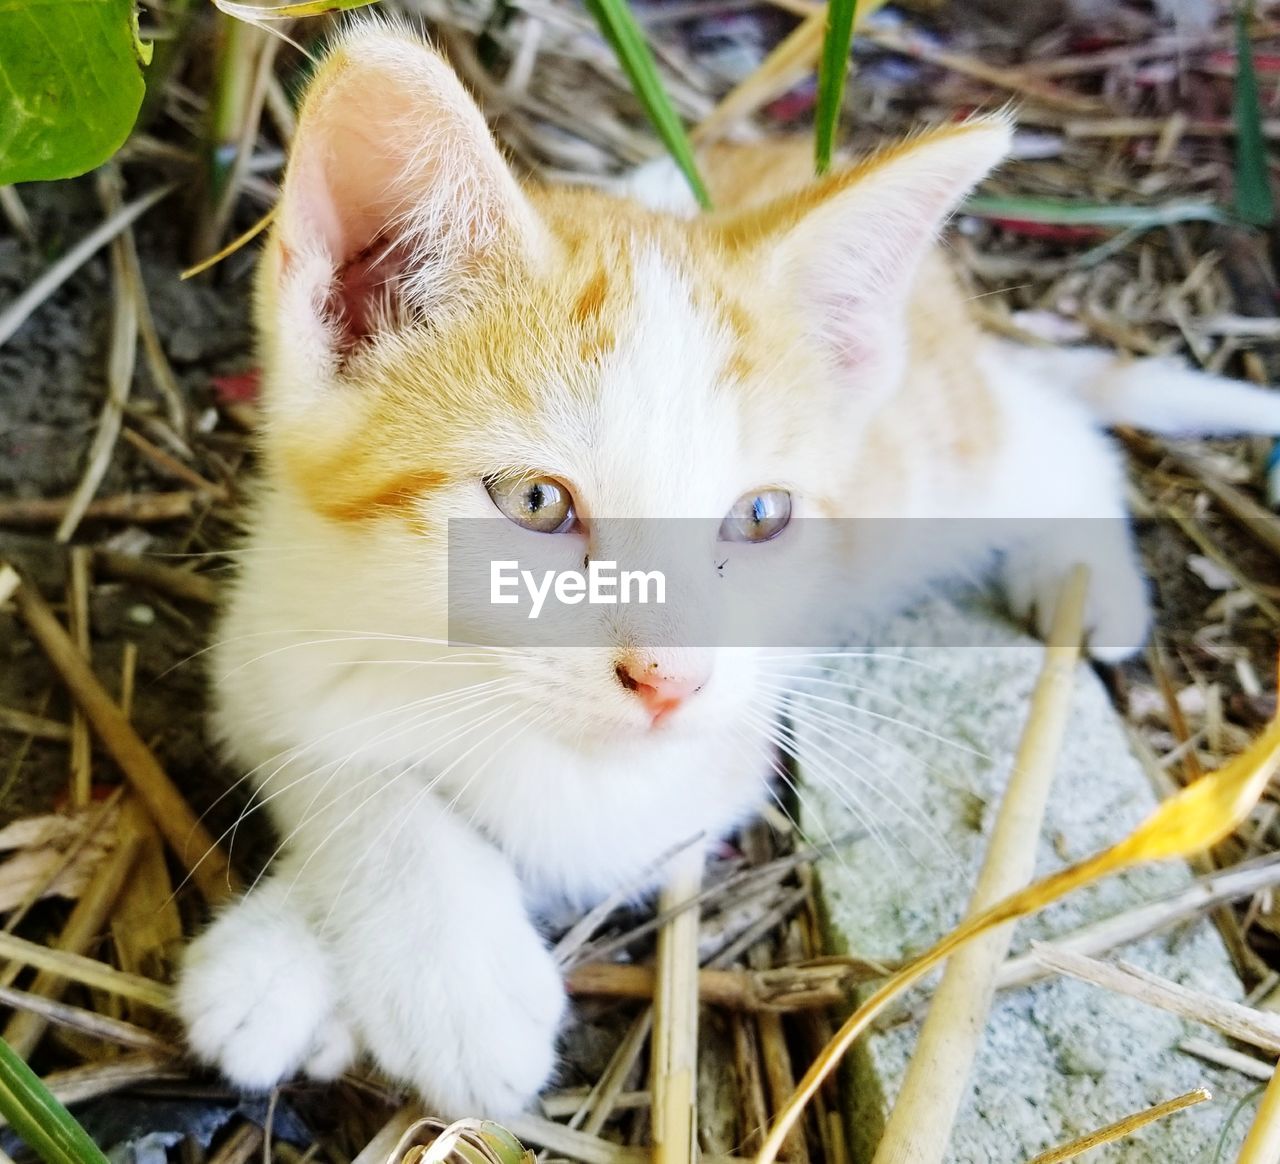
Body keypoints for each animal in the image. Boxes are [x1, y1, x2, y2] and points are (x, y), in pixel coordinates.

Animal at [177, 22, 1280, 1116]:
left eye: (759, 516)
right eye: (535, 502)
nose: (672, 681)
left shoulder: (708, 756)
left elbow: (570, 832)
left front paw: (446, 985)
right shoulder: (259, 641)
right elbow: (339, 764)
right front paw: (297, 964)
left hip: (939, 464)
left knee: (1056, 432)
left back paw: (1087, 576)